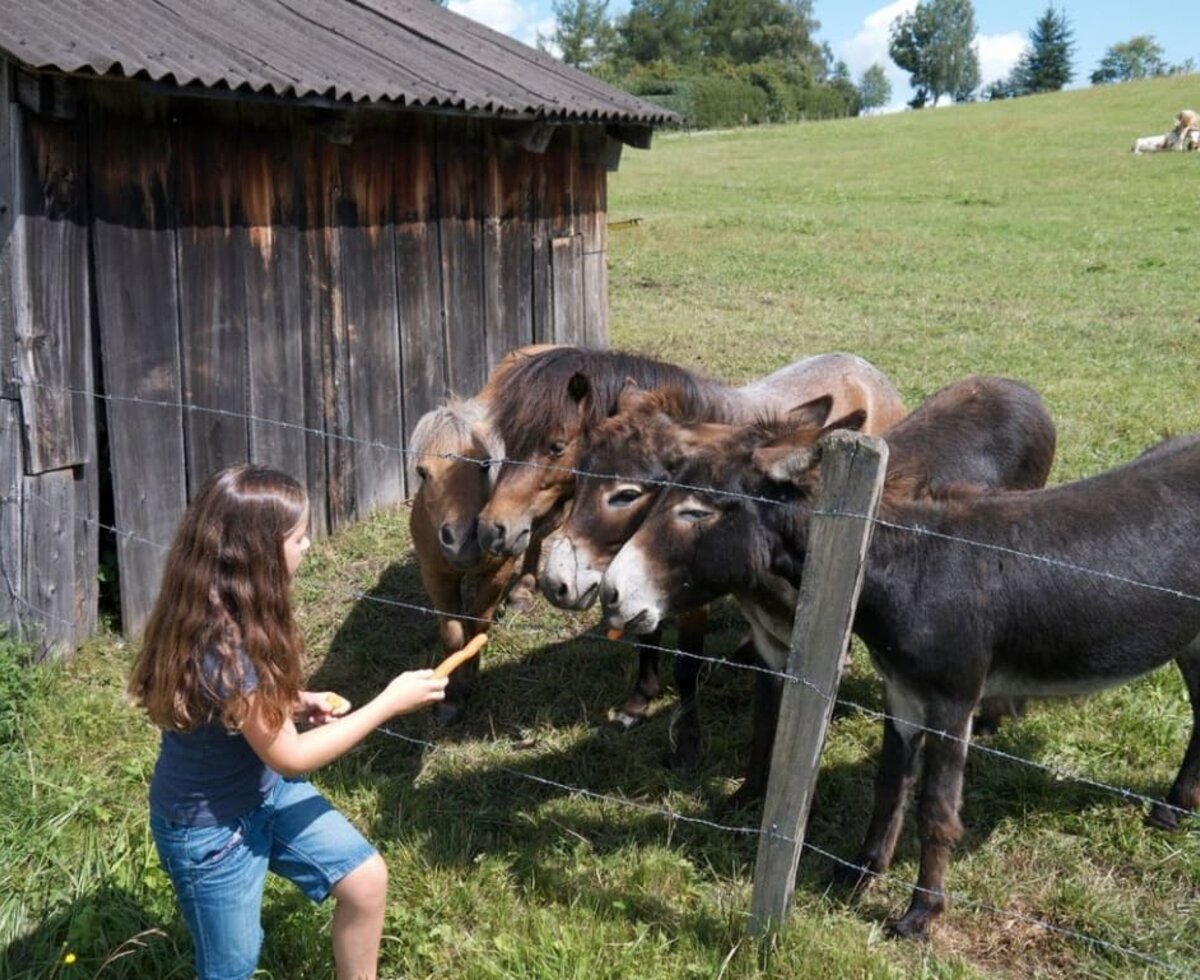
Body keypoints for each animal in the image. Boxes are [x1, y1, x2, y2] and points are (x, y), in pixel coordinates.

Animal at [405, 343, 549, 719]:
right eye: (423, 473)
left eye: (484, 464)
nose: (462, 541)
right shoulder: (435, 574)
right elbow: (454, 633)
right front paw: (452, 696)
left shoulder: (498, 571)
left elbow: (478, 622)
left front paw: (472, 668)